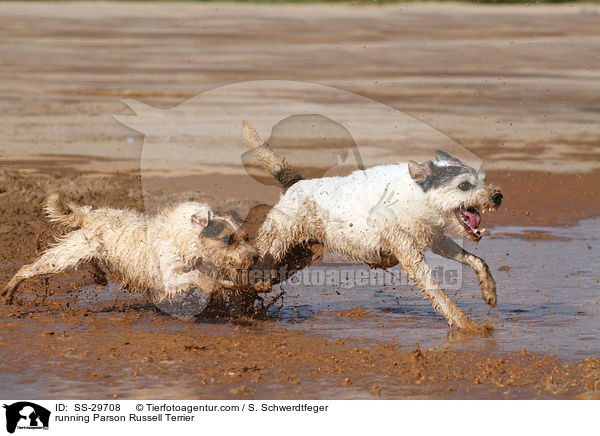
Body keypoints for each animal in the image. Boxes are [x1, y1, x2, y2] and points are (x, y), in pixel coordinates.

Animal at [1, 194, 256, 310]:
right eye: (228, 239)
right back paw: (9, 291)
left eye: (245, 237)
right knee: (28, 268)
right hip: (65, 255)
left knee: (90, 261)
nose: (254, 257)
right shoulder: (171, 277)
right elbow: (197, 277)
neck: (185, 239)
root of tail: (90, 214)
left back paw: (98, 275)